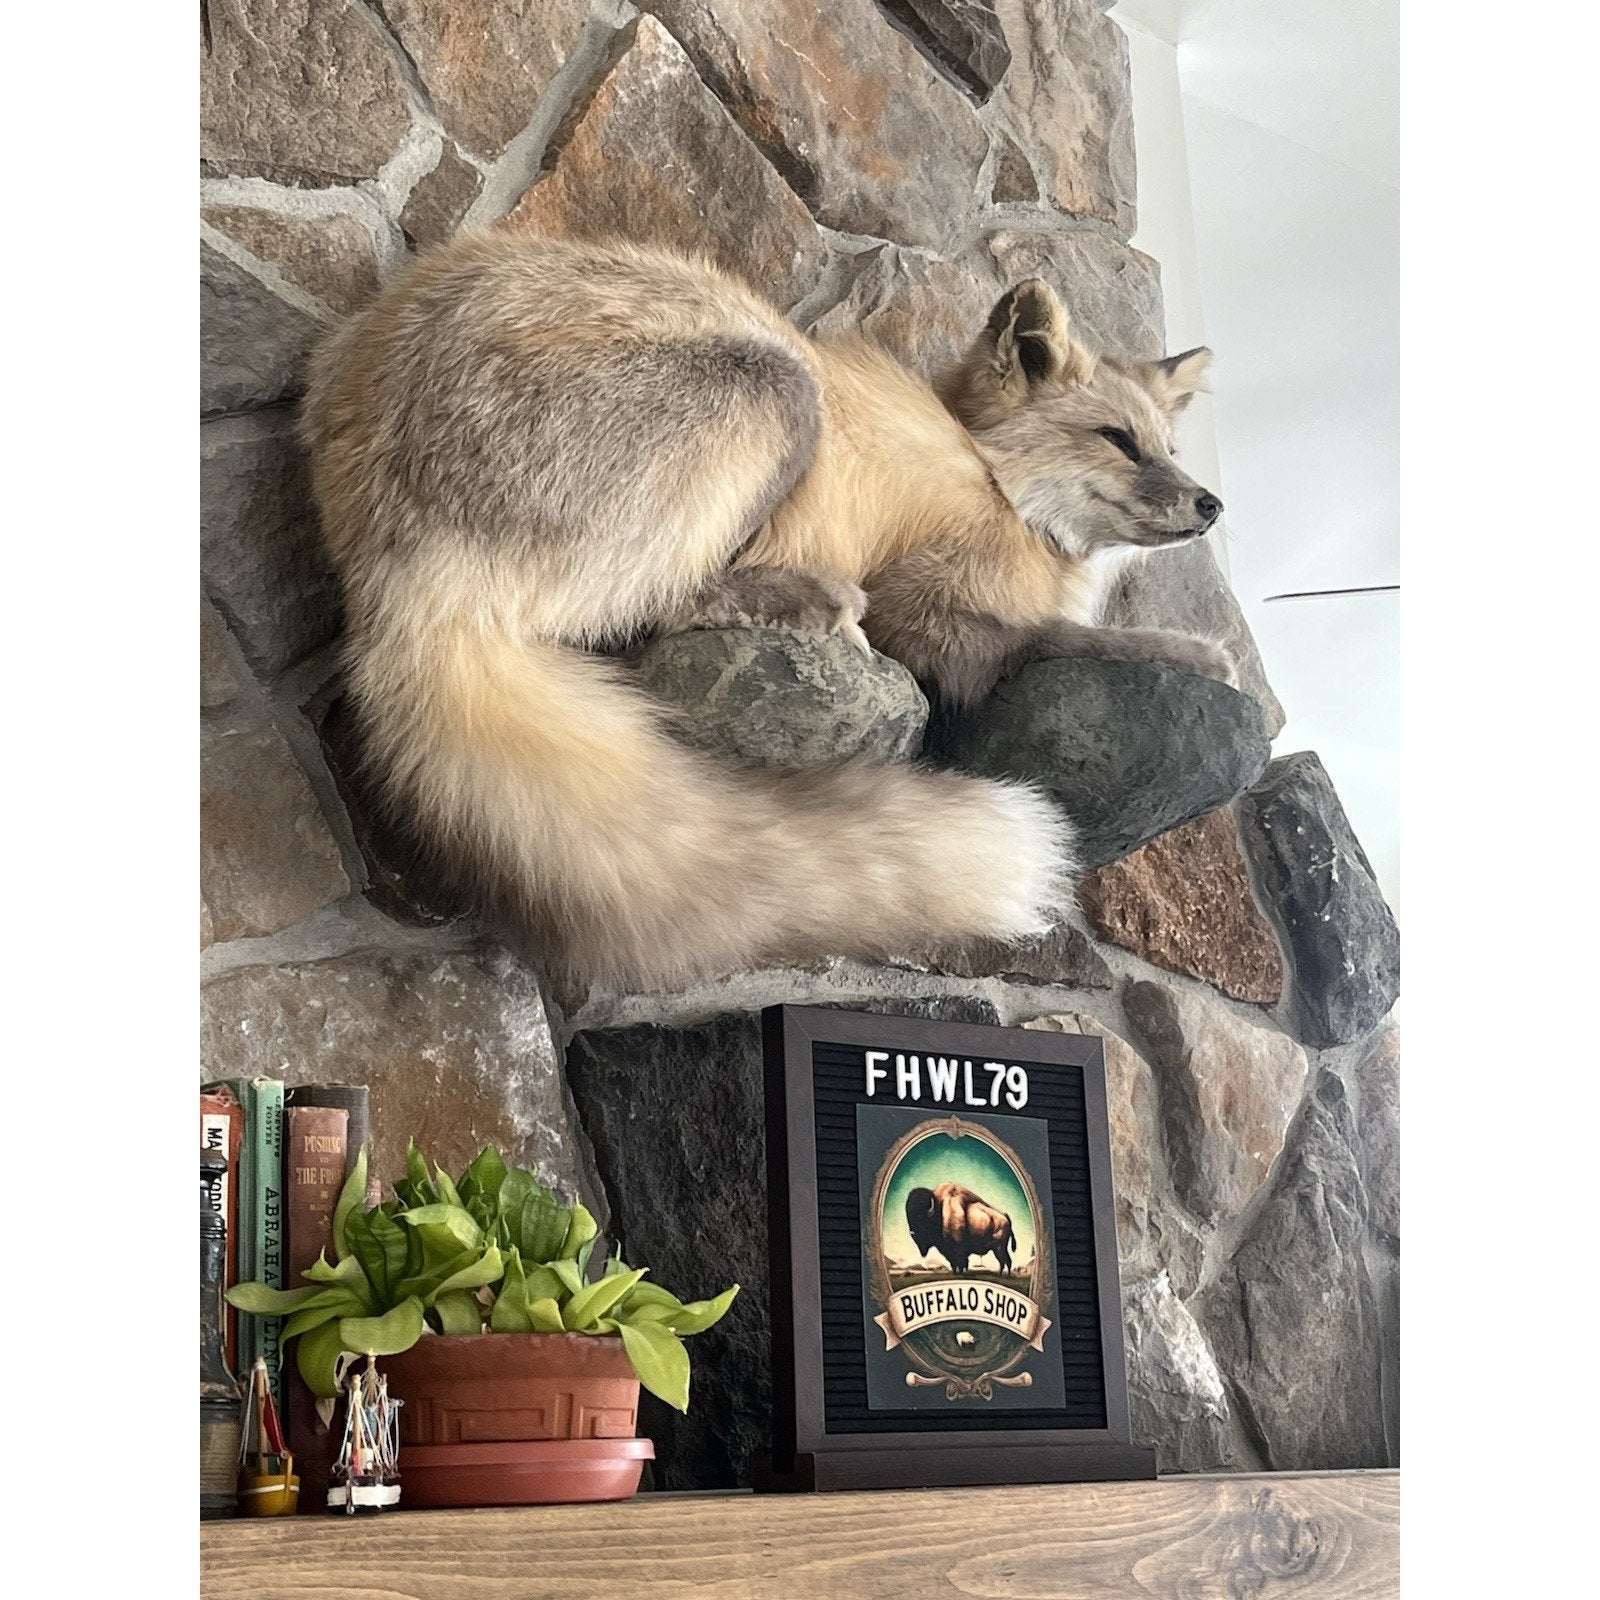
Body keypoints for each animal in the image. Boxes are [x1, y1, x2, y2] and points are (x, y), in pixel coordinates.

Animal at [301, 231, 1231, 992]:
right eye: (1118, 441)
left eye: (1170, 448)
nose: (1212, 504)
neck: (990, 478)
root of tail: (398, 571)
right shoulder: (925, 606)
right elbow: (1064, 637)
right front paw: (1201, 655)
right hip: (774, 391)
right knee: (659, 611)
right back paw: (804, 601)